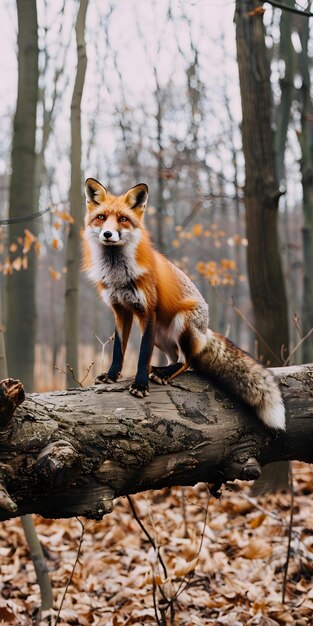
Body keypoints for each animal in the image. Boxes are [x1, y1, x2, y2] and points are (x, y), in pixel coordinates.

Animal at [83, 177, 286, 428]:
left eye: (123, 219)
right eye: (101, 217)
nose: (108, 234)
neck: (118, 275)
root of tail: (205, 331)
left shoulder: (148, 310)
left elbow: (142, 354)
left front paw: (140, 385)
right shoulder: (121, 310)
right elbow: (119, 350)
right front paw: (112, 376)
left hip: (182, 323)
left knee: (187, 361)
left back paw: (163, 373)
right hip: (160, 336)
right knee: (174, 357)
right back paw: (159, 368)